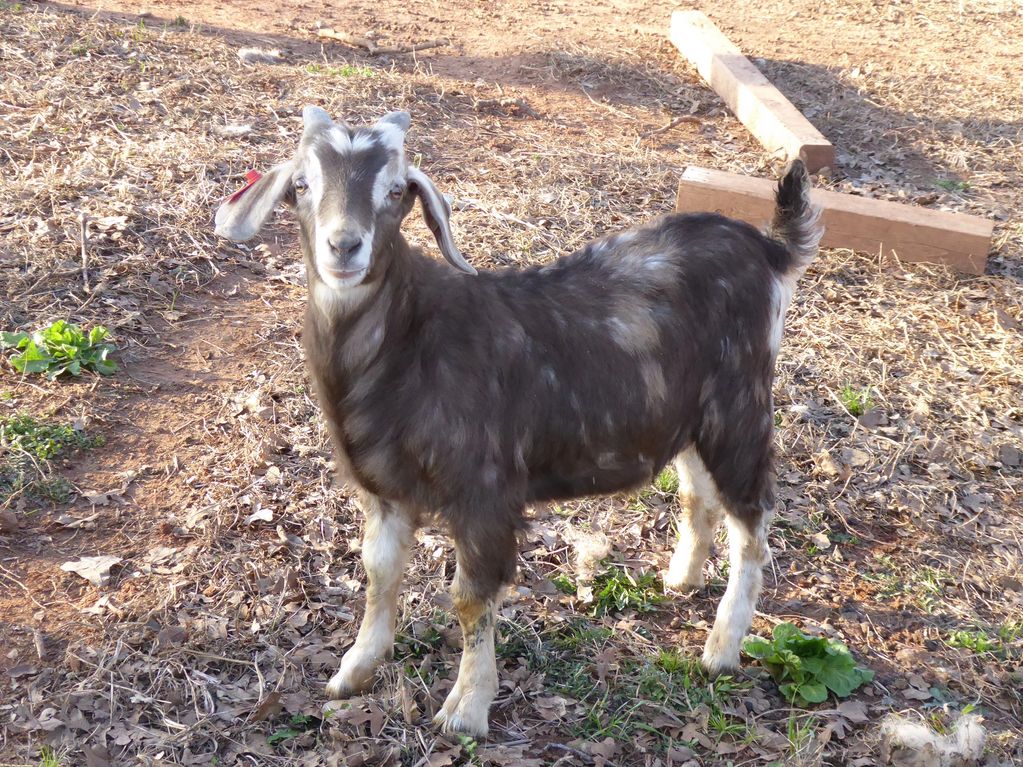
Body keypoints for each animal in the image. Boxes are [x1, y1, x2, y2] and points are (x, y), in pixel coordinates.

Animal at [214, 106, 823, 738]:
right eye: (302, 185)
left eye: (396, 190)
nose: (344, 246)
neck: (409, 344)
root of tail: (767, 250)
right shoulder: (383, 489)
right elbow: (379, 573)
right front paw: (353, 671)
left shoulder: (484, 492)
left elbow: (471, 599)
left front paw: (466, 709)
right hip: (690, 418)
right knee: (697, 492)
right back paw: (683, 577)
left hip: (740, 407)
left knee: (752, 523)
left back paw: (721, 648)